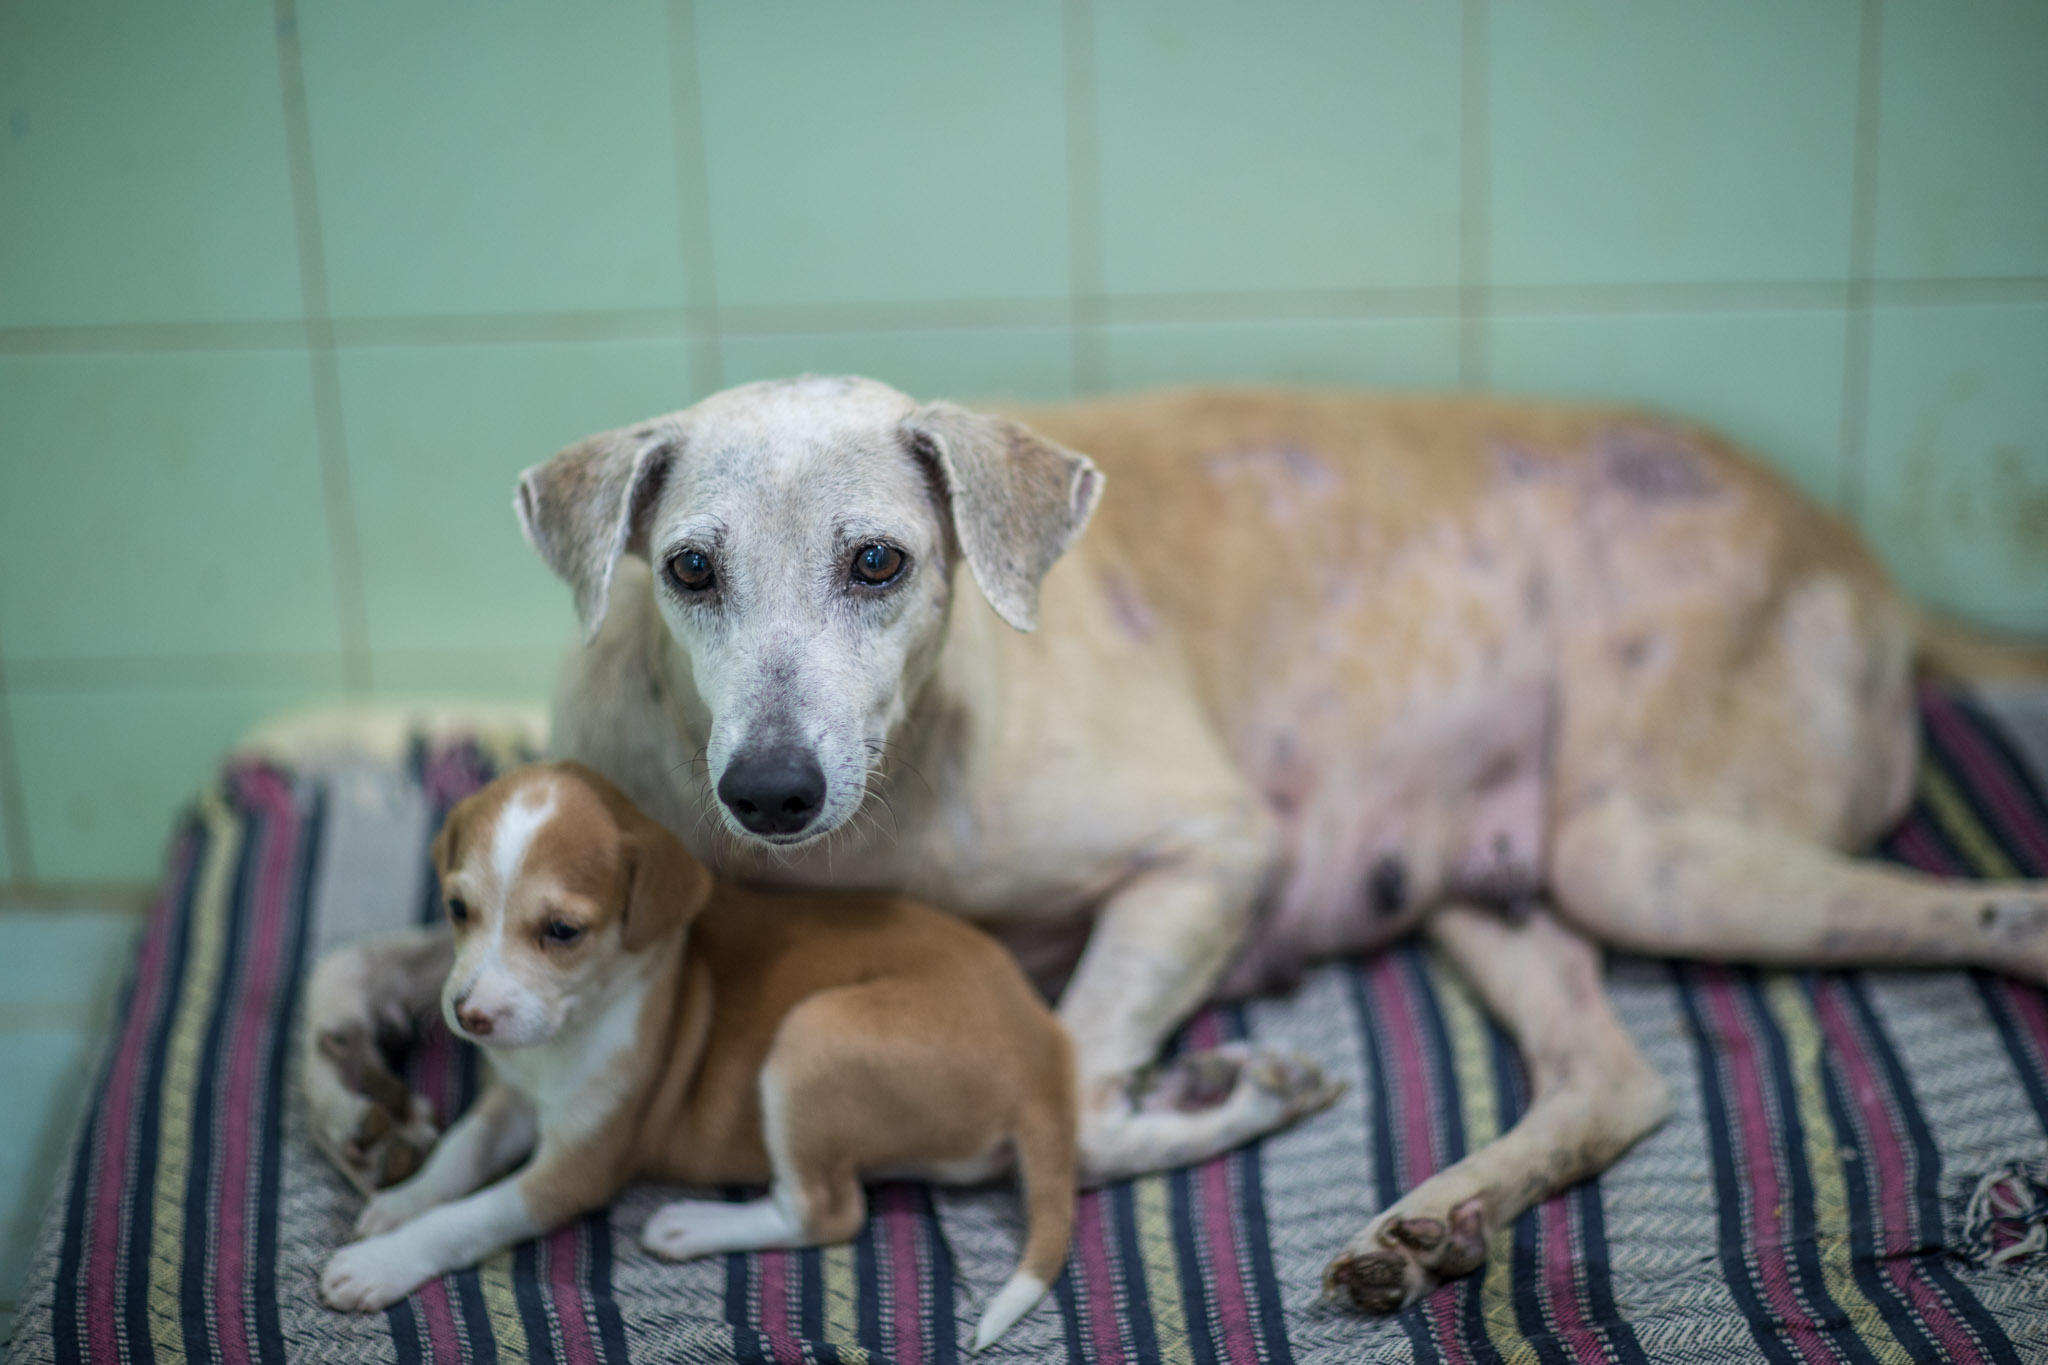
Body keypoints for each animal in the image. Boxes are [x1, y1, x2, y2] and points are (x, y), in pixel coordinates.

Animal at [311, 761, 1075, 1350]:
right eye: (457, 908)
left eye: (562, 930)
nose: (470, 1016)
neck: (572, 1031)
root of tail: (1046, 1059)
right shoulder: (513, 1097)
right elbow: (460, 1152)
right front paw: (401, 1200)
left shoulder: (576, 1169)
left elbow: (468, 1218)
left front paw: (381, 1262)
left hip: (813, 1035)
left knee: (824, 1211)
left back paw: (691, 1224)